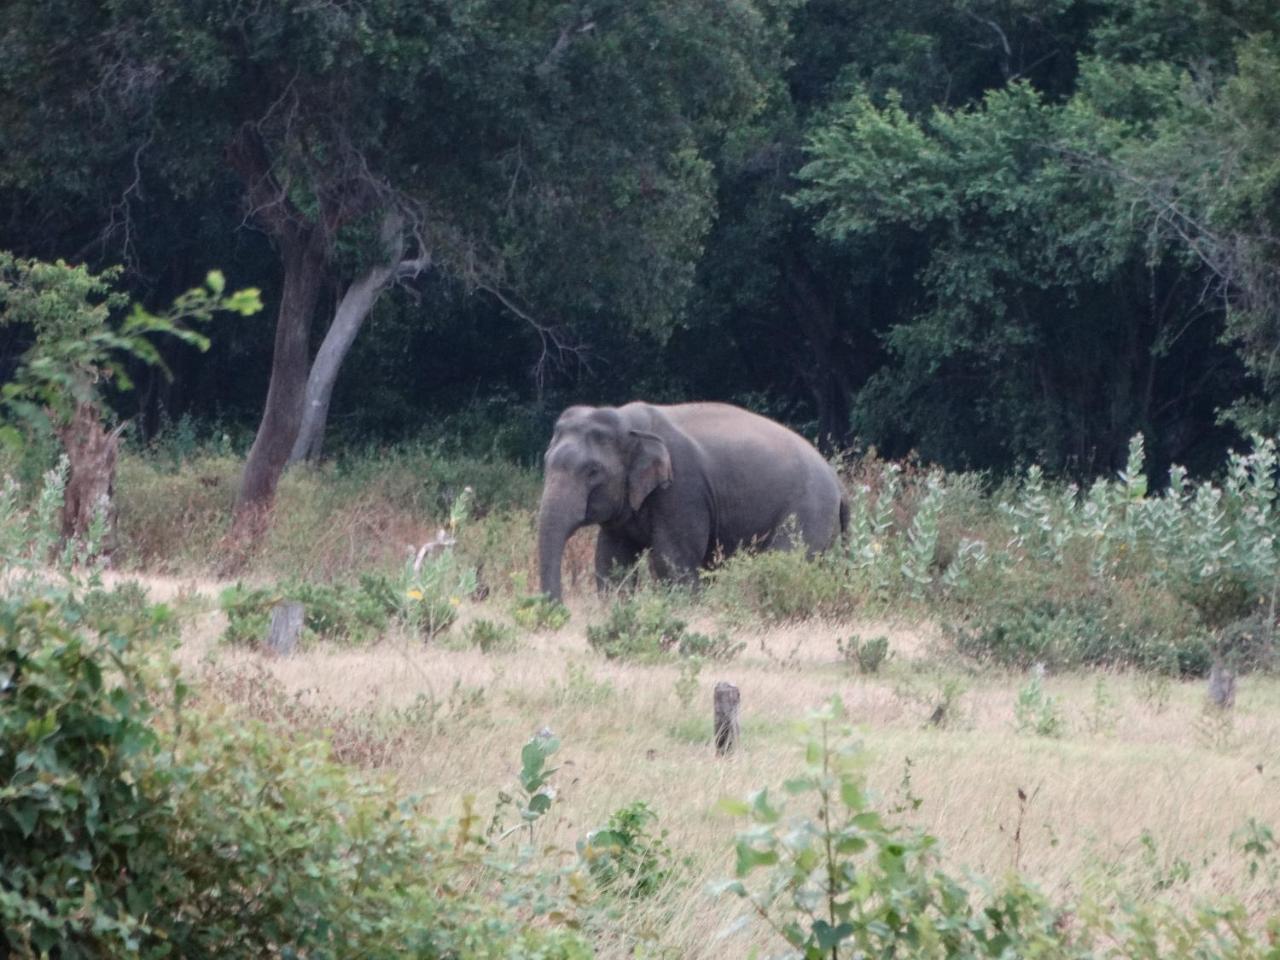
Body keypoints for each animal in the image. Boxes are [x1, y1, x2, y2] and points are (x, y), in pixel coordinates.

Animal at [537, 404, 849, 601]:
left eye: (592, 471)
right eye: (546, 461)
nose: (558, 611)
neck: (629, 421)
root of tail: (838, 482)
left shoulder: (683, 490)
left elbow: (672, 559)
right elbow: (612, 559)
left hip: (809, 509)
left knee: (787, 559)